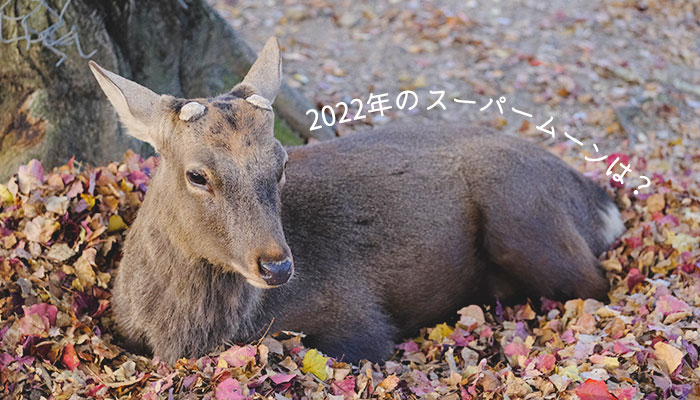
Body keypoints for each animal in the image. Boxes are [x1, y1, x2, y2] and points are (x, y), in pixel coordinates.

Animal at [90, 37, 628, 366]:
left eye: (281, 162)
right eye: (197, 174)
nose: (277, 266)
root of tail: (598, 200)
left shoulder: (355, 319)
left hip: (525, 217)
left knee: (595, 284)